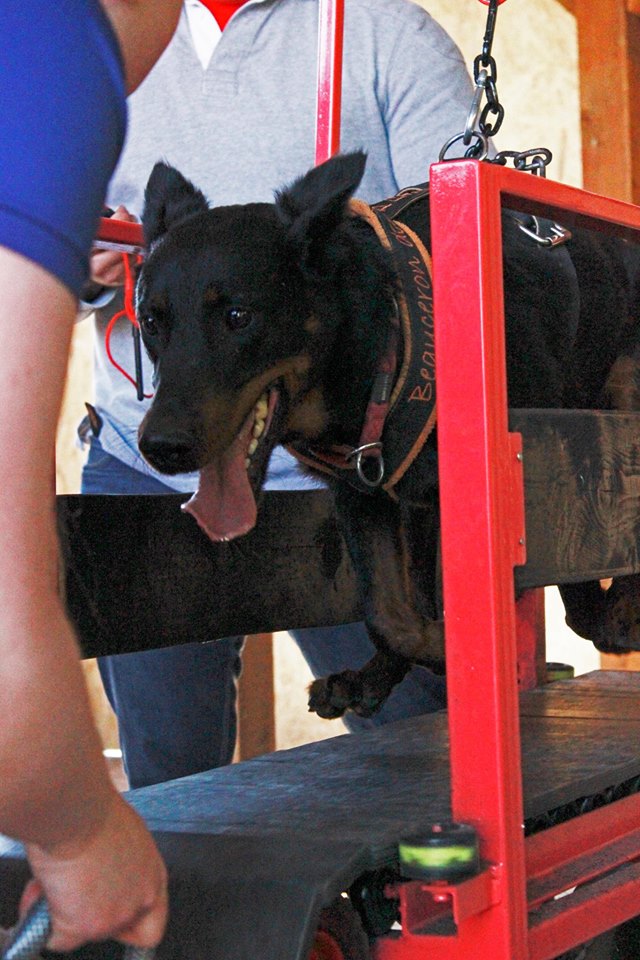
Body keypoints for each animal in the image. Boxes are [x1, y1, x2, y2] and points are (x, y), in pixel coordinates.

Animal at [135, 154, 640, 716]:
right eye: (151, 321)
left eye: (238, 316)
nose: (160, 447)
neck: (390, 337)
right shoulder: (364, 491)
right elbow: (390, 615)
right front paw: (436, 652)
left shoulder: (553, 461)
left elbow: (578, 576)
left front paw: (605, 616)